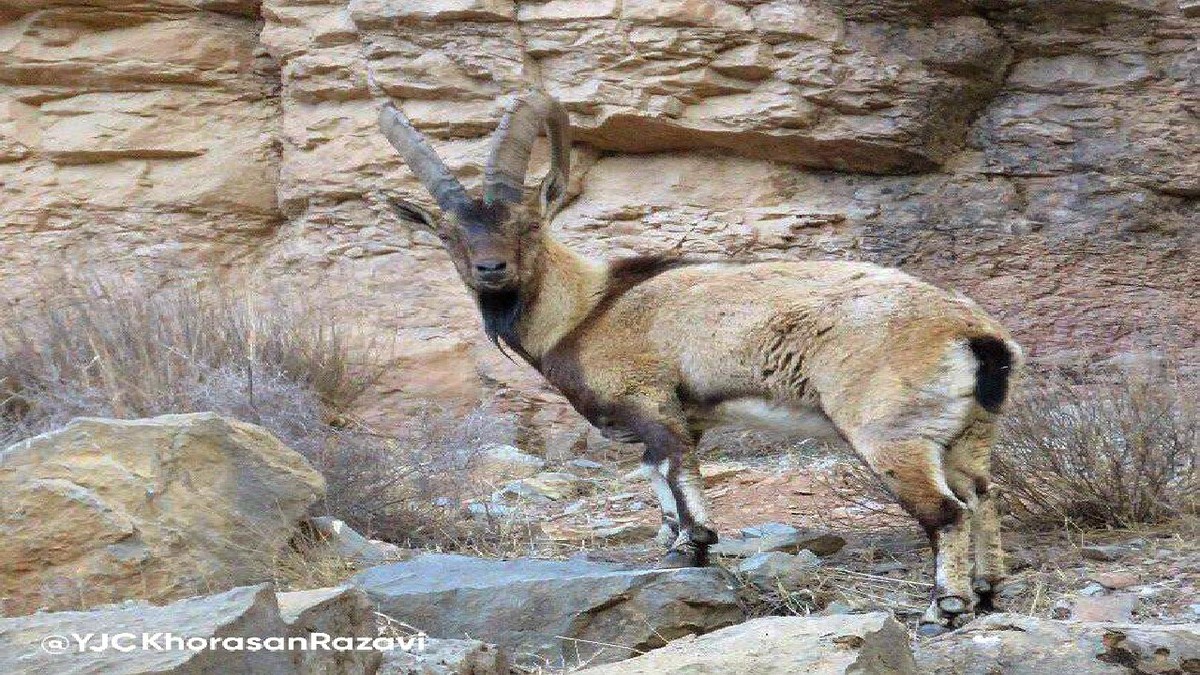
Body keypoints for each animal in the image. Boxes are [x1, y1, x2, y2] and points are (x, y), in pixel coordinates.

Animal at [376, 89, 1022, 629]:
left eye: (528, 224)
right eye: (448, 235)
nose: (492, 270)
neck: (588, 309)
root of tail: (975, 335)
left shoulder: (650, 402)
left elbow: (675, 475)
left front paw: (695, 547)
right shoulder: (678, 418)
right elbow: (658, 480)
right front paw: (673, 548)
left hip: (890, 435)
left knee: (947, 513)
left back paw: (945, 609)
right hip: (967, 432)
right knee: (983, 495)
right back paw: (988, 591)